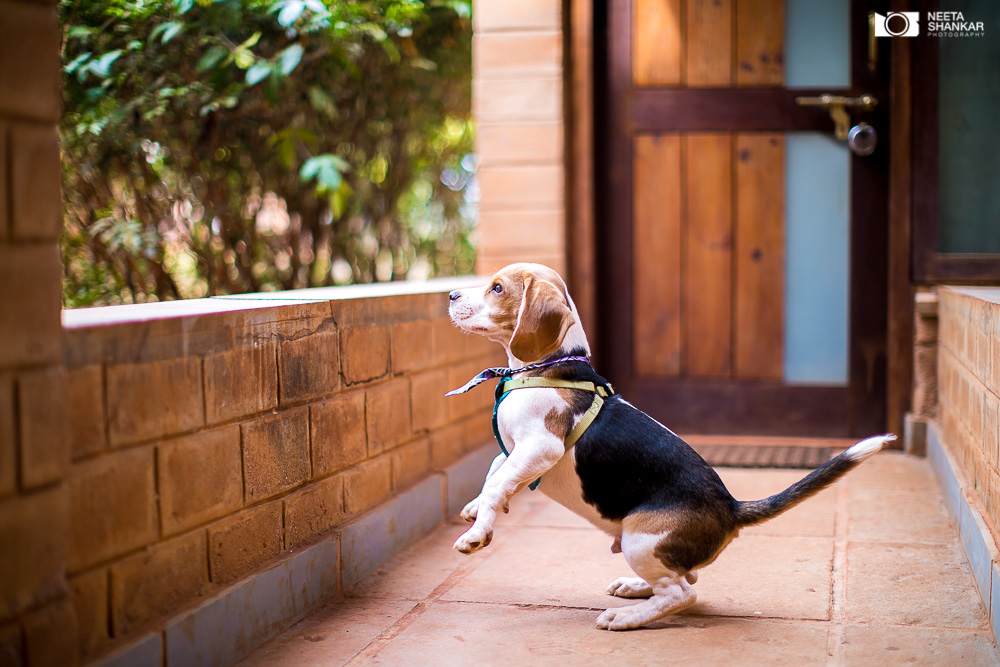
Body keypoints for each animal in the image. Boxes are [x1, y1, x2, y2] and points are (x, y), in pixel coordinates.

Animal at [446, 262, 892, 632]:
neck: (548, 367)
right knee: (681, 579)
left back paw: (627, 618)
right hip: (647, 549)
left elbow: (497, 482)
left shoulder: (541, 447)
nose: (450, 295)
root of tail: (730, 508)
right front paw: (473, 508)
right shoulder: (514, 450)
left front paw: (477, 531)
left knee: (683, 593)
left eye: (497, 287)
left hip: (640, 540)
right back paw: (634, 589)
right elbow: (494, 471)